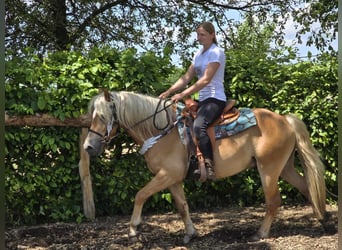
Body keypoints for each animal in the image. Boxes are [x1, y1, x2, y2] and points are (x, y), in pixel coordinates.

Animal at [82, 90, 326, 244]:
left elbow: (140, 195)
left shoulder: (166, 175)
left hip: (268, 169)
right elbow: (182, 206)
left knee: (274, 201)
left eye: (102, 117)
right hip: (284, 167)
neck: (161, 132)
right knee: (306, 188)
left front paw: (134, 230)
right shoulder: (172, 179)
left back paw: (261, 233)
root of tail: (284, 120)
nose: (88, 147)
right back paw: (323, 221)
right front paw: (191, 234)